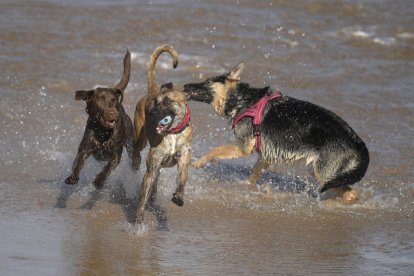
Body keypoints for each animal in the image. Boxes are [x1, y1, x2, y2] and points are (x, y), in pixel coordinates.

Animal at [65, 49, 139, 189]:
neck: (102, 131)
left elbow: (108, 167)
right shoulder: (84, 149)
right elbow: (77, 163)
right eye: (99, 100)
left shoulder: (116, 154)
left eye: (113, 100)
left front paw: (99, 180)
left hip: (132, 147)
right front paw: (72, 177)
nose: (113, 114)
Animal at [133, 43, 192, 224]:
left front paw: (178, 196)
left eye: (167, 101)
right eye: (155, 102)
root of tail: (151, 91)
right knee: (136, 149)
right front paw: (137, 222)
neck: (172, 134)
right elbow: (142, 200)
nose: (151, 113)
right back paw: (135, 161)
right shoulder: (150, 170)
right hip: (140, 139)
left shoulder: (183, 159)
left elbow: (182, 179)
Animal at [184, 62, 368, 201]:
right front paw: (245, 187)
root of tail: (358, 143)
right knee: (351, 193)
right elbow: (253, 174)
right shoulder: (265, 156)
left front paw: (199, 162)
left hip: (323, 174)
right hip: (326, 174)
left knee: (351, 192)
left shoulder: (243, 146)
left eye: (208, 81)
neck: (243, 100)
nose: (185, 85)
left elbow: (215, 150)